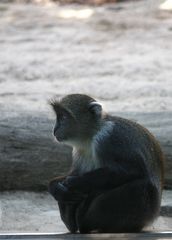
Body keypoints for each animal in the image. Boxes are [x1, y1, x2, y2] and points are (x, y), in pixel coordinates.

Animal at [48, 94, 164, 234]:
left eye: (64, 117)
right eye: (58, 116)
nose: (55, 129)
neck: (91, 135)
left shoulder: (109, 138)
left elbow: (133, 170)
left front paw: (76, 183)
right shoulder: (78, 151)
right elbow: (74, 173)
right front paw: (56, 188)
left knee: (141, 185)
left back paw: (85, 223)